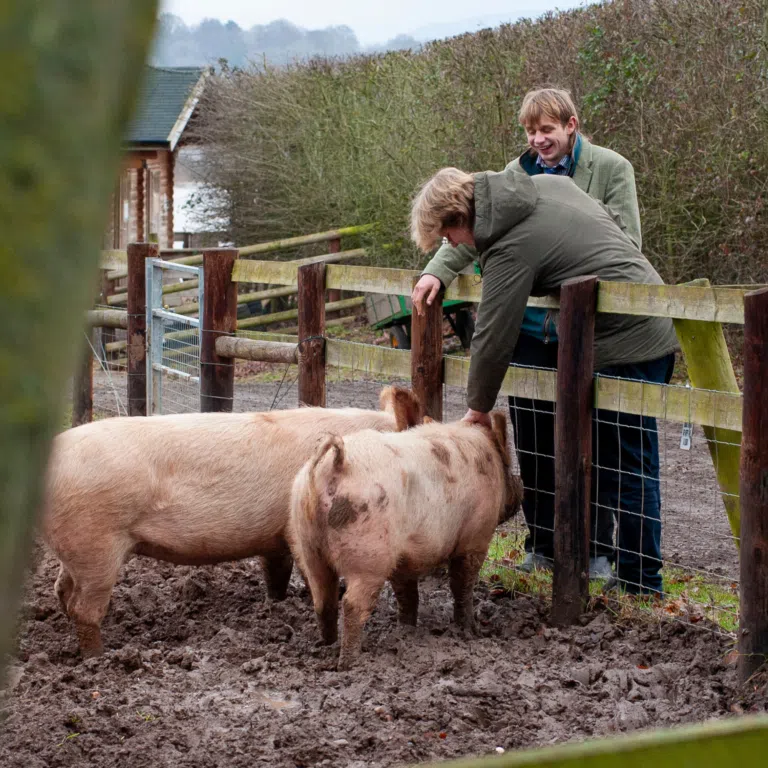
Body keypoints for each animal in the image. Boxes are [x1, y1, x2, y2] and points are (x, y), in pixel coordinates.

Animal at [42, 386, 422, 657]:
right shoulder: (294, 529)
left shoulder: (275, 536)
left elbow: (276, 573)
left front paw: (275, 605)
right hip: (97, 543)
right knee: (83, 607)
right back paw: (99, 657)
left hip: (78, 548)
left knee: (61, 589)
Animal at [288, 409, 523, 670]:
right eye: (509, 466)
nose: (521, 486)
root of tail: (336, 463)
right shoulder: (476, 537)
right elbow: (462, 584)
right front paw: (471, 633)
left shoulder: (404, 557)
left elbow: (406, 592)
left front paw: (407, 631)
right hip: (368, 556)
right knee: (351, 605)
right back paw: (350, 663)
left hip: (307, 544)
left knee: (323, 600)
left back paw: (327, 645)